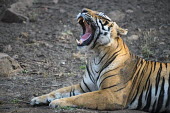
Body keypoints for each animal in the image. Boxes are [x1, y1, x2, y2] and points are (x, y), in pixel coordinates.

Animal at [30, 8, 170, 112]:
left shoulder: (112, 94)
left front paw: (57, 102)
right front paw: (37, 99)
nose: (83, 9)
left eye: (102, 16)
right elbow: (59, 90)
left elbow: (81, 98)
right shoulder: (84, 87)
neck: (95, 56)